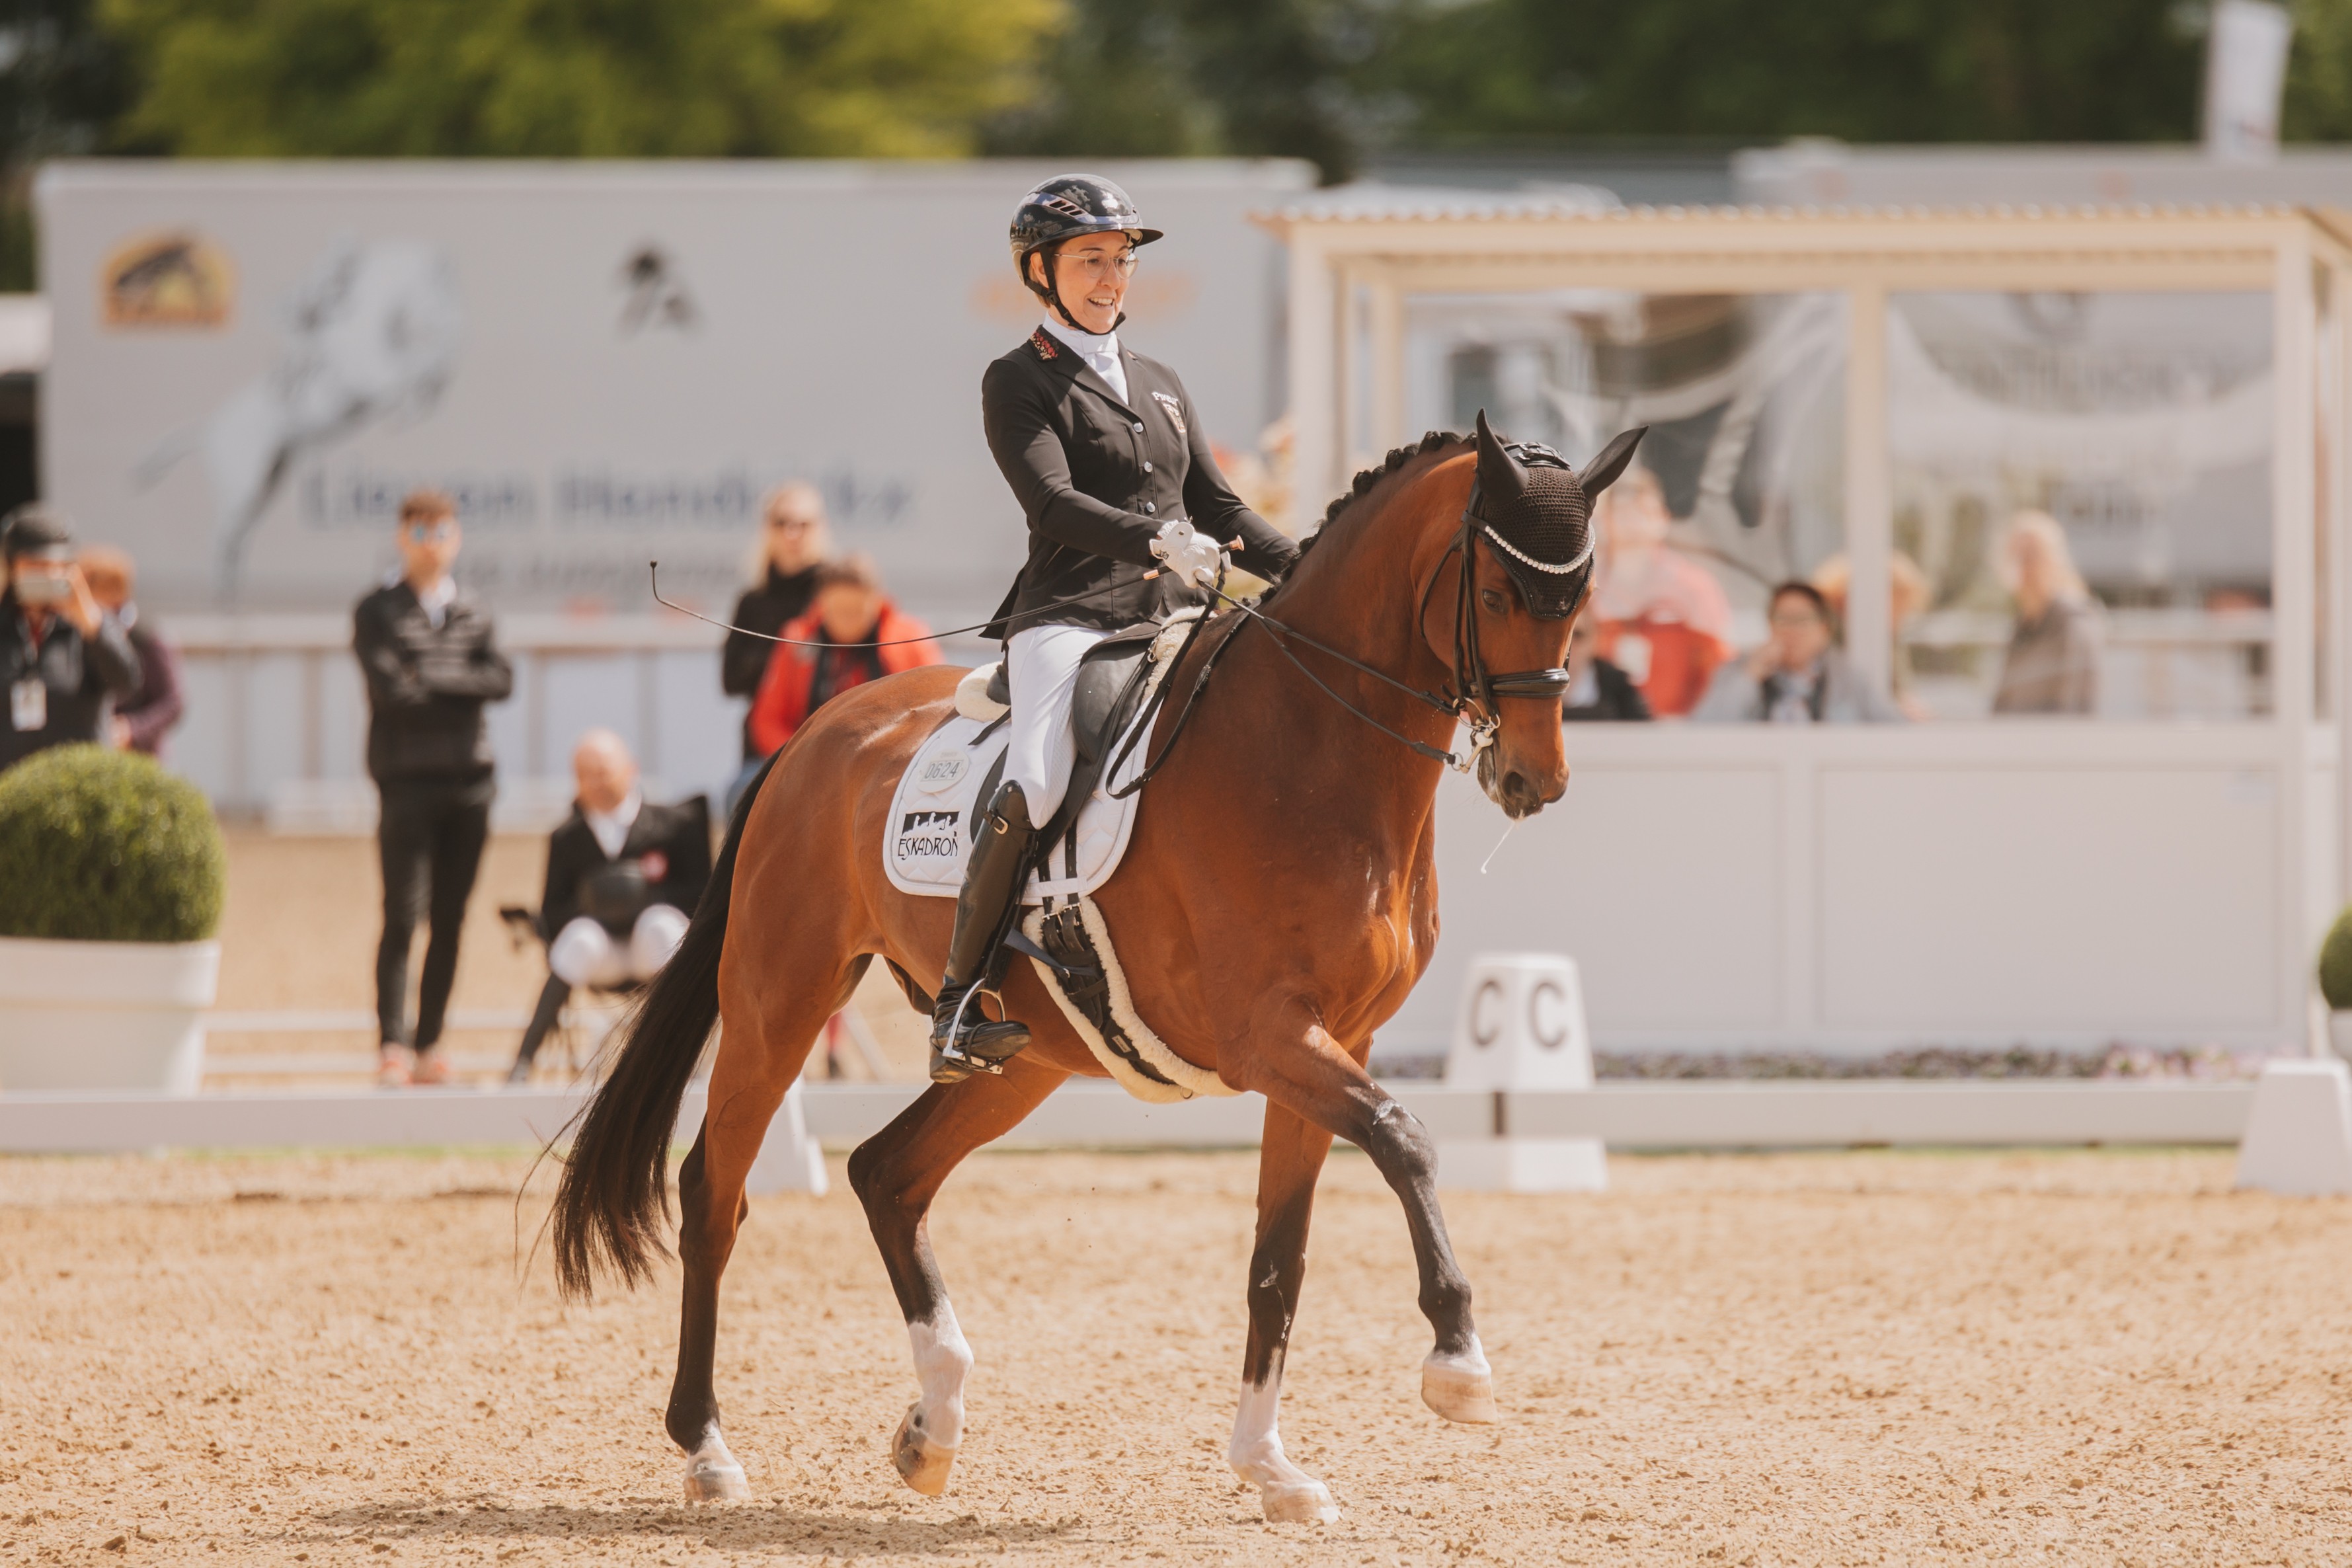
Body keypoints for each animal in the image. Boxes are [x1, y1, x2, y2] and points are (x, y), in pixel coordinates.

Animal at [549, 413, 1644, 1524]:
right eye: (1498, 594)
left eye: (1580, 599)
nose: (1532, 779)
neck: (1309, 749)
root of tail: (814, 735)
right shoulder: (1269, 1037)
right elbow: (1403, 1139)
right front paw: (1458, 1362)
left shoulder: (1336, 1040)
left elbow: (1278, 1259)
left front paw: (1269, 1467)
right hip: (782, 997)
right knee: (712, 1192)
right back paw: (707, 1447)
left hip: (1025, 1058)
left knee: (885, 1174)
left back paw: (932, 1426)